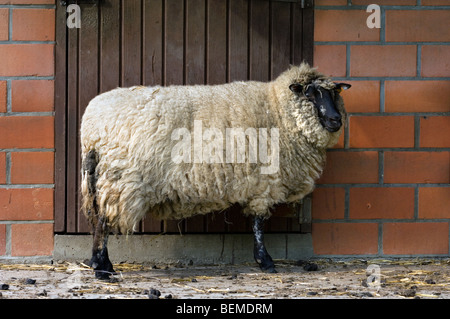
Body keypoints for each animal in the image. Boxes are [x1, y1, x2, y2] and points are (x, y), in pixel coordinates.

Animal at [79, 62, 350, 278]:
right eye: (310, 94)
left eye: (334, 93)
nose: (336, 120)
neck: (278, 110)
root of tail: (91, 127)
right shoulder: (265, 183)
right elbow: (259, 224)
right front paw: (265, 261)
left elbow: (256, 223)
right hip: (117, 181)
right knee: (103, 221)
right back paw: (102, 269)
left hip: (99, 179)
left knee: (97, 219)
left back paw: (99, 264)